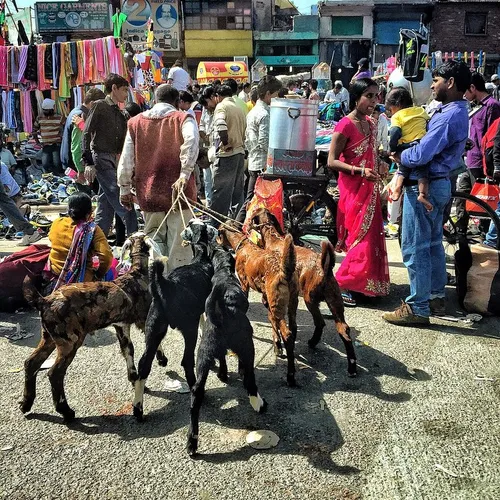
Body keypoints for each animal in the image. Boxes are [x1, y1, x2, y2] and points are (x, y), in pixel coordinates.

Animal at [21, 232, 166, 420]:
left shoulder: (121, 326)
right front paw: (162, 360)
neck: (137, 274)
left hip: (49, 337)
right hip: (70, 340)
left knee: (31, 363)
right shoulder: (144, 320)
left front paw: (133, 378)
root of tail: (44, 301)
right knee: (55, 373)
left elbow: (128, 350)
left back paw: (26, 403)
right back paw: (65, 411)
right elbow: (155, 342)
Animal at [133, 221, 219, 420]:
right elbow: (204, 323)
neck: (200, 259)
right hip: (188, 329)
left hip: (154, 328)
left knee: (143, 365)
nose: (217, 230)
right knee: (186, 361)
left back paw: (138, 409)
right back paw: (198, 391)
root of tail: (164, 286)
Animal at [187, 246, 266, 458]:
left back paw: (192, 442)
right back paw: (258, 402)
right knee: (251, 379)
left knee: (196, 394)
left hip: (203, 356)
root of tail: (222, 315)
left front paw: (222, 374)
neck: (223, 271)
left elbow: (222, 358)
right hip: (247, 346)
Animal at [218, 227, 296, 386]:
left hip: (278, 306)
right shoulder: (266, 298)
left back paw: (290, 376)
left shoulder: (243, 284)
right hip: (288, 305)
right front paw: (276, 345)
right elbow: (271, 320)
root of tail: (284, 272)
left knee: (288, 335)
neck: (244, 245)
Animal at [249, 209, 356, 376]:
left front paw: (278, 346)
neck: (274, 239)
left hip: (310, 299)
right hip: (335, 301)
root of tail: (324, 268)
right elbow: (291, 324)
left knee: (320, 322)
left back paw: (312, 342)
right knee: (343, 330)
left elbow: (274, 322)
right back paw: (351, 366)